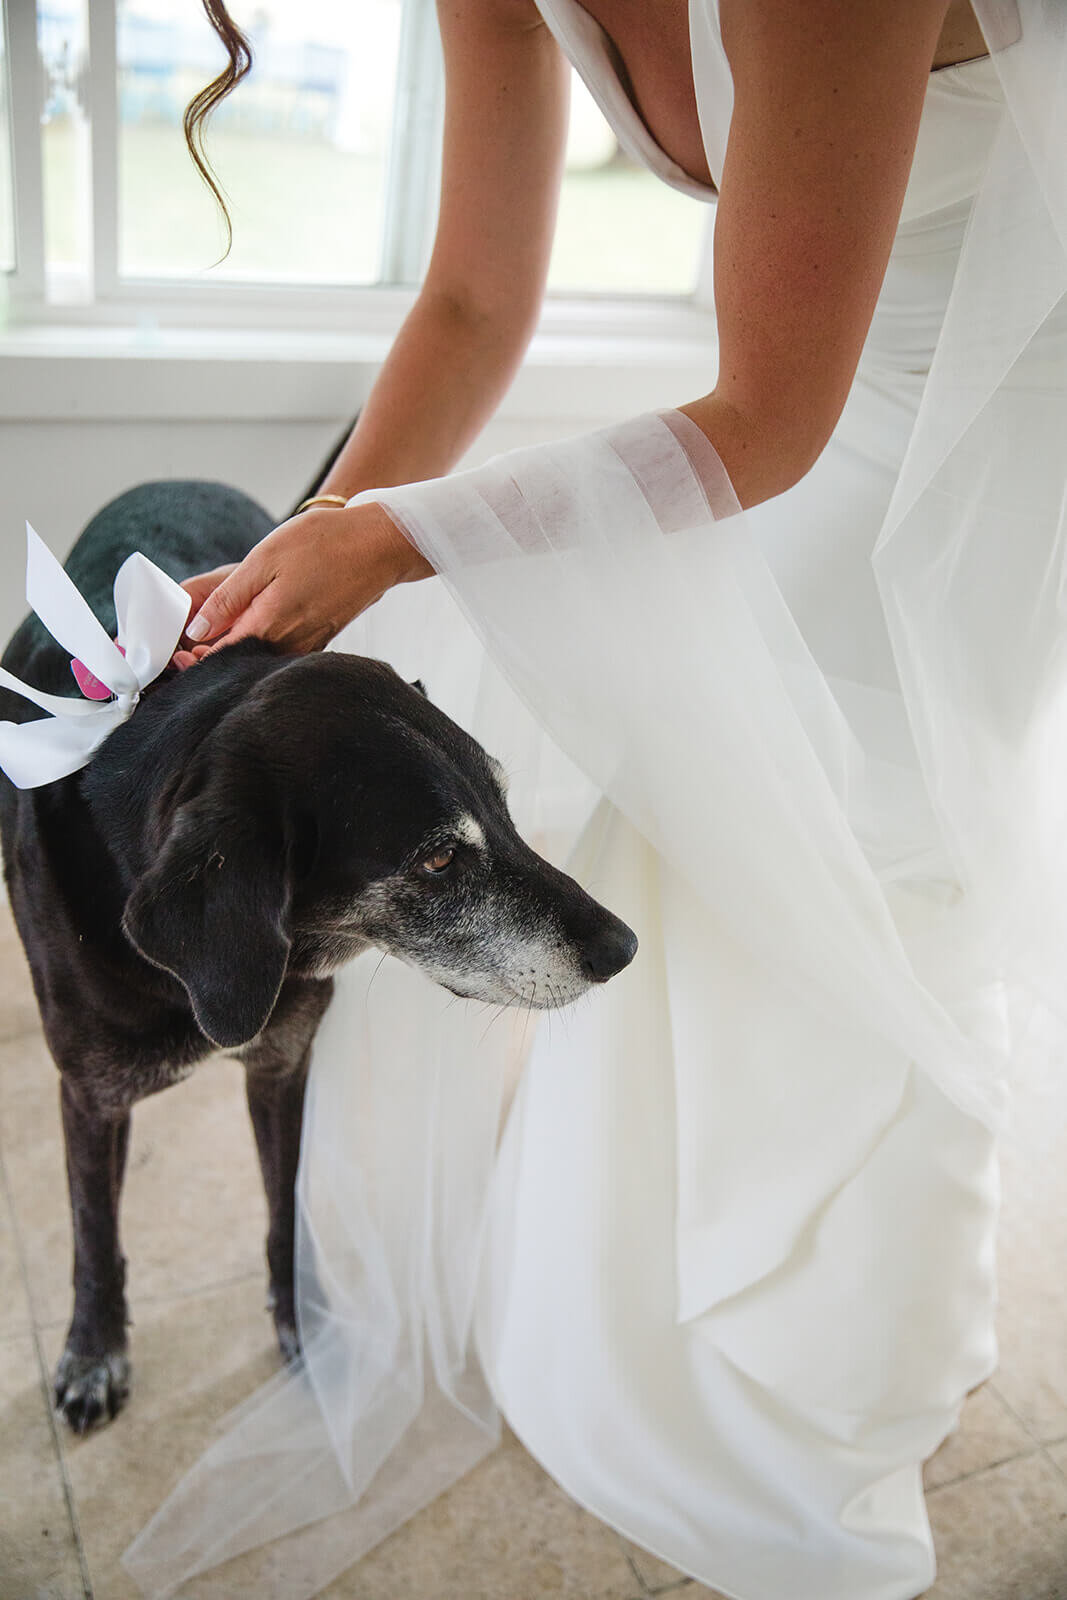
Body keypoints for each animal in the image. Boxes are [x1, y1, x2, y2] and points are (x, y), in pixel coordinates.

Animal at [0, 480, 633, 1433]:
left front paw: (305, 1324)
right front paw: (93, 1352)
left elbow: (284, 1207)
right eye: (437, 859)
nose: (622, 947)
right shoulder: (91, 1092)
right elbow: (92, 1233)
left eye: (505, 803)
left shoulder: (285, 1062)